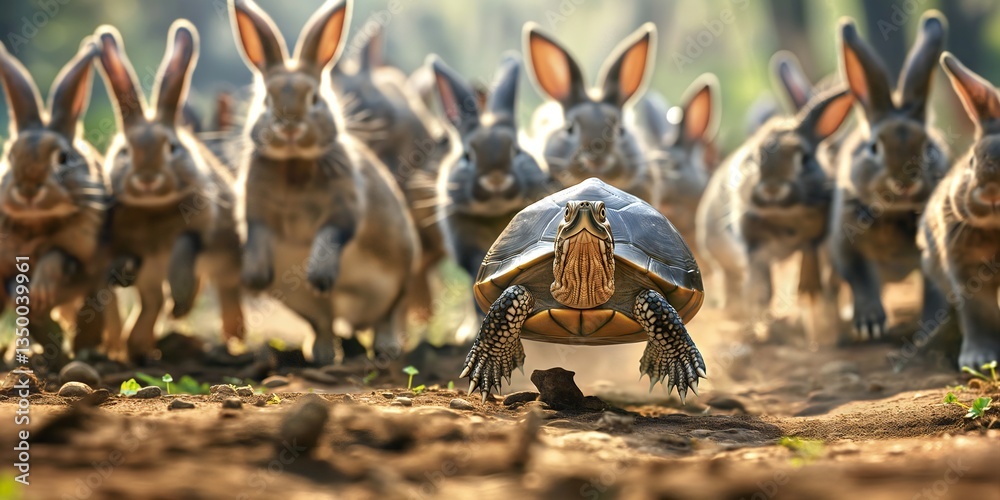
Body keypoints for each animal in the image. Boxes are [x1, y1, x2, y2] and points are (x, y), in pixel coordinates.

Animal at [0, 39, 112, 365]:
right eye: (10, 155)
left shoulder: (79, 254)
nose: (27, 189)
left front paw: (41, 290)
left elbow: (56, 256)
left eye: (63, 158)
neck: (37, 221)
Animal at [94, 22, 245, 363]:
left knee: (225, 291)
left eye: (172, 148)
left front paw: (181, 301)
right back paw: (136, 349)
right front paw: (119, 274)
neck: (153, 207)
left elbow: (185, 250)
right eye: (124, 151)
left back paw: (229, 334)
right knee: (151, 303)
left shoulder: (199, 230)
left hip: (225, 261)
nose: (147, 179)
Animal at [229, 0, 418, 364]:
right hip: (300, 302)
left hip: (398, 280)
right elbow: (259, 232)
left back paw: (385, 349)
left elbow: (332, 234)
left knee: (386, 317)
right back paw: (321, 355)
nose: (290, 126)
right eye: (266, 101)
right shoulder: (256, 211)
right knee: (324, 323)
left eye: (315, 98)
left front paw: (319, 275)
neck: (293, 163)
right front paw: (255, 277)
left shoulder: (344, 207)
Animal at [696, 87, 854, 340]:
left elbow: (809, 270)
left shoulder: (815, 238)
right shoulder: (754, 245)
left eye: (805, 158)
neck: (785, 214)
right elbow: (761, 289)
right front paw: (762, 328)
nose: (772, 188)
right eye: (753, 158)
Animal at [828, 11, 950, 342]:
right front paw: (869, 325)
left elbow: (933, 287)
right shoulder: (846, 245)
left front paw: (929, 329)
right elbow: (859, 279)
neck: (894, 213)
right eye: (874, 147)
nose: (905, 182)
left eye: (929, 147)